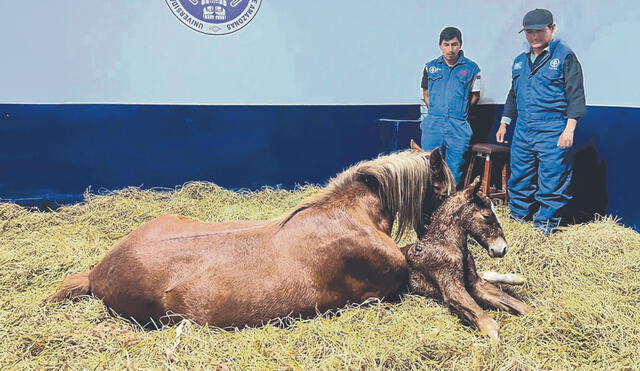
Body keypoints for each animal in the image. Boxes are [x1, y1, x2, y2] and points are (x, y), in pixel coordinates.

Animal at [402, 179, 532, 342]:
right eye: (487, 216)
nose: (502, 248)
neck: (447, 243)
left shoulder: (475, 283)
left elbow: (515, 303)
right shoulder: (453, 289)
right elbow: (487, 322)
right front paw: (495, 343)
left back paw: (518, 278)